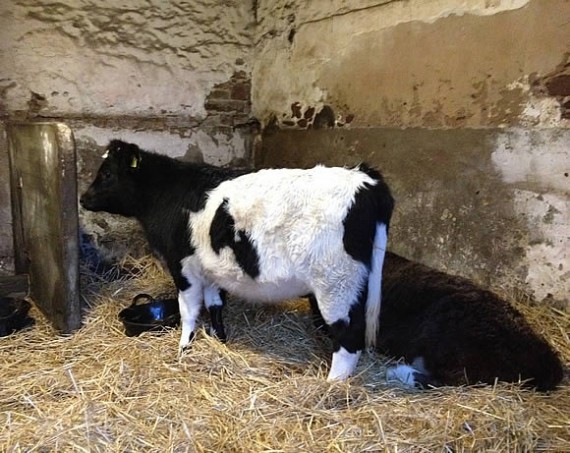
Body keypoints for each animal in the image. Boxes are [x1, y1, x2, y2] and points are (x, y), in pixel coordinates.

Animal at [81, 139, 390, 380]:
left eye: (107, 173)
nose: (83, 198)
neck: (168, 195)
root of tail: (365, 177)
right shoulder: (211, 269)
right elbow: (215, 306)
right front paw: (219, 342)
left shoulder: (182, 266)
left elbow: (188, 311)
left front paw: (183, 349)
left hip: (336, 284)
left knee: (349, 336)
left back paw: (332, 385)